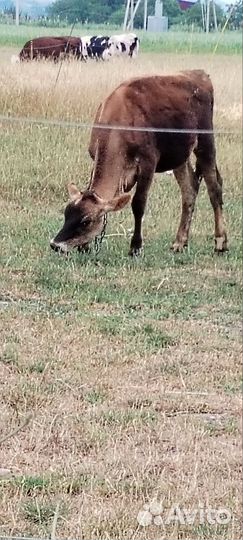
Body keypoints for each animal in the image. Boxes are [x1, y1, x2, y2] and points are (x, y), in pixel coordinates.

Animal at [50, 70, 228, 256]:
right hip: (179, 155)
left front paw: (135, 246)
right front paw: (86, 245)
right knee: (189, 189)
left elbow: (138, 203)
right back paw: (180, 242)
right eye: (66, 213)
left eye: (86, 221)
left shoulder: (148, 162)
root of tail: (199, 73)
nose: (55, 244)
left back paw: (220, 241)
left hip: (206, 142)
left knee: (214, 188)